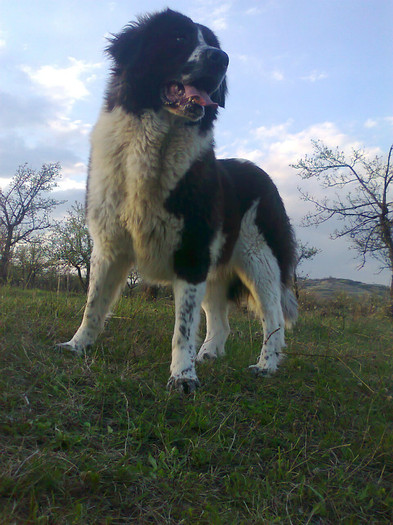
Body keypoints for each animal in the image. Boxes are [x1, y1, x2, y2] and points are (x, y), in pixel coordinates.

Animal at [59, 9, 296, 392]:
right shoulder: (110, 245)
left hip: (260, 259)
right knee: (220, 320)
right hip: (218, 268)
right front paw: (77, 345)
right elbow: (93, 303)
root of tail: (262, 174)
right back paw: (210, 353)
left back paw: (266, 365)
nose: (221, 58)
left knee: (273, 316)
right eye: (178, 39)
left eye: (212, 44)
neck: (154, 143)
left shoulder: (191, 253)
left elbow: (182, 328)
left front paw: (183, 376)